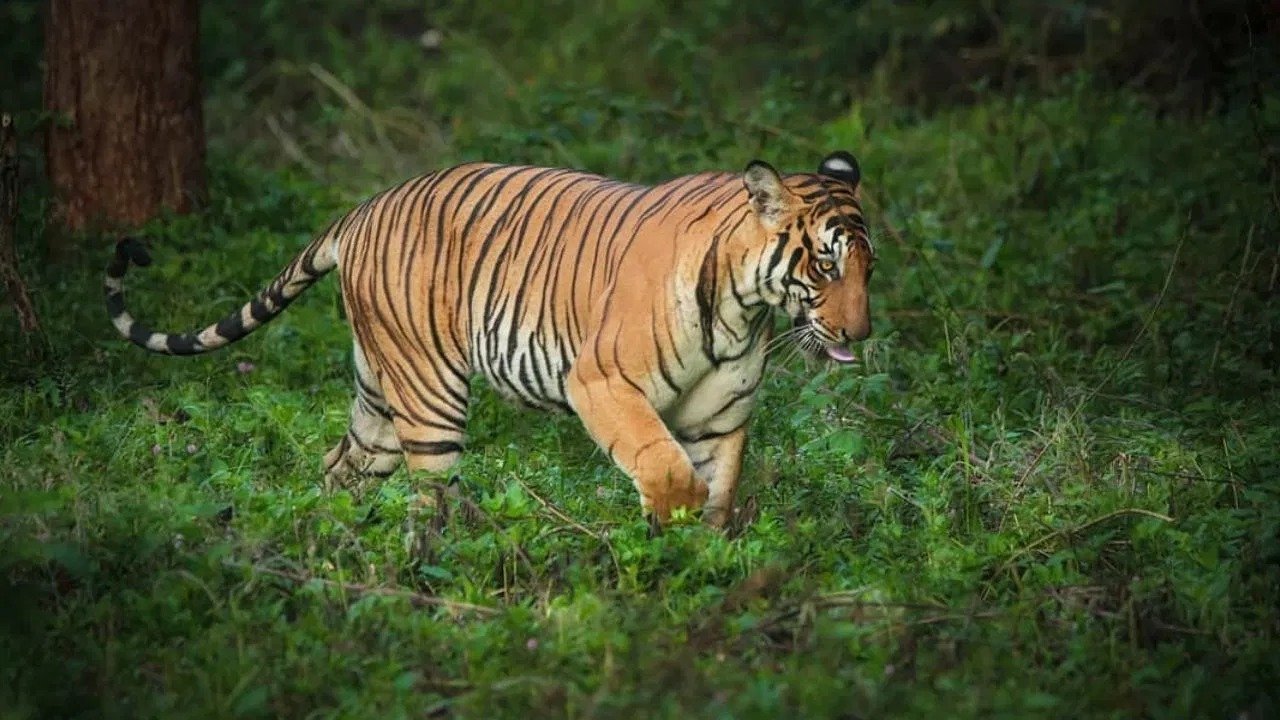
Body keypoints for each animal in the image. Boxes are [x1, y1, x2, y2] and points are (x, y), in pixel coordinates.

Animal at [104, 151, 875, 526]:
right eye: (826, 265)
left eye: (870, 267)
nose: (859, 333)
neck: (745, 308)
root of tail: (361, 209)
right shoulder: (601, 381)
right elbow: (664, 468)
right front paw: (664, 533)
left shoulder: (719, 418)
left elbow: (716, 496)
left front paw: (697, 572)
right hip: (429, 393)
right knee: (429, 503)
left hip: (377, 401)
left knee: (339, 469)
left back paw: (329, 546)